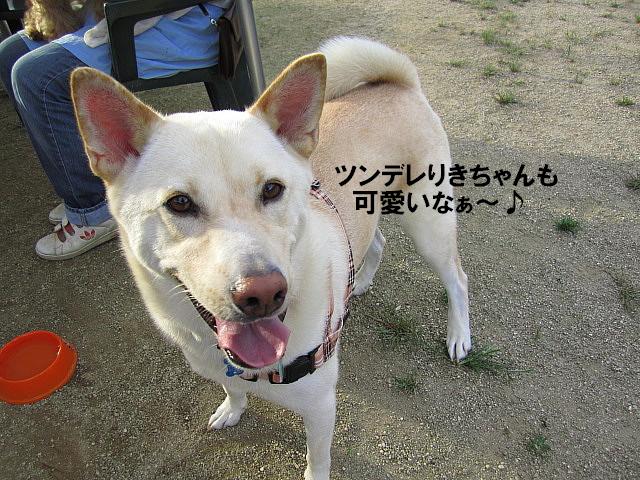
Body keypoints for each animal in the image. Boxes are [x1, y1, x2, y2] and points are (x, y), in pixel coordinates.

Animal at [70, 37, 471, 479]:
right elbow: (233, 388)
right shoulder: (221, 368)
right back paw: (359, 282)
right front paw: (232, 409)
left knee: (457, 277)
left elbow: (318, 460)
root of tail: (399, 81)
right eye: (179, 203)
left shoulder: (320, 405)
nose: (263, 293)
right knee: (377, 241)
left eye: (273, 189)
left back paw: (459, 336)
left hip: (427, 220)